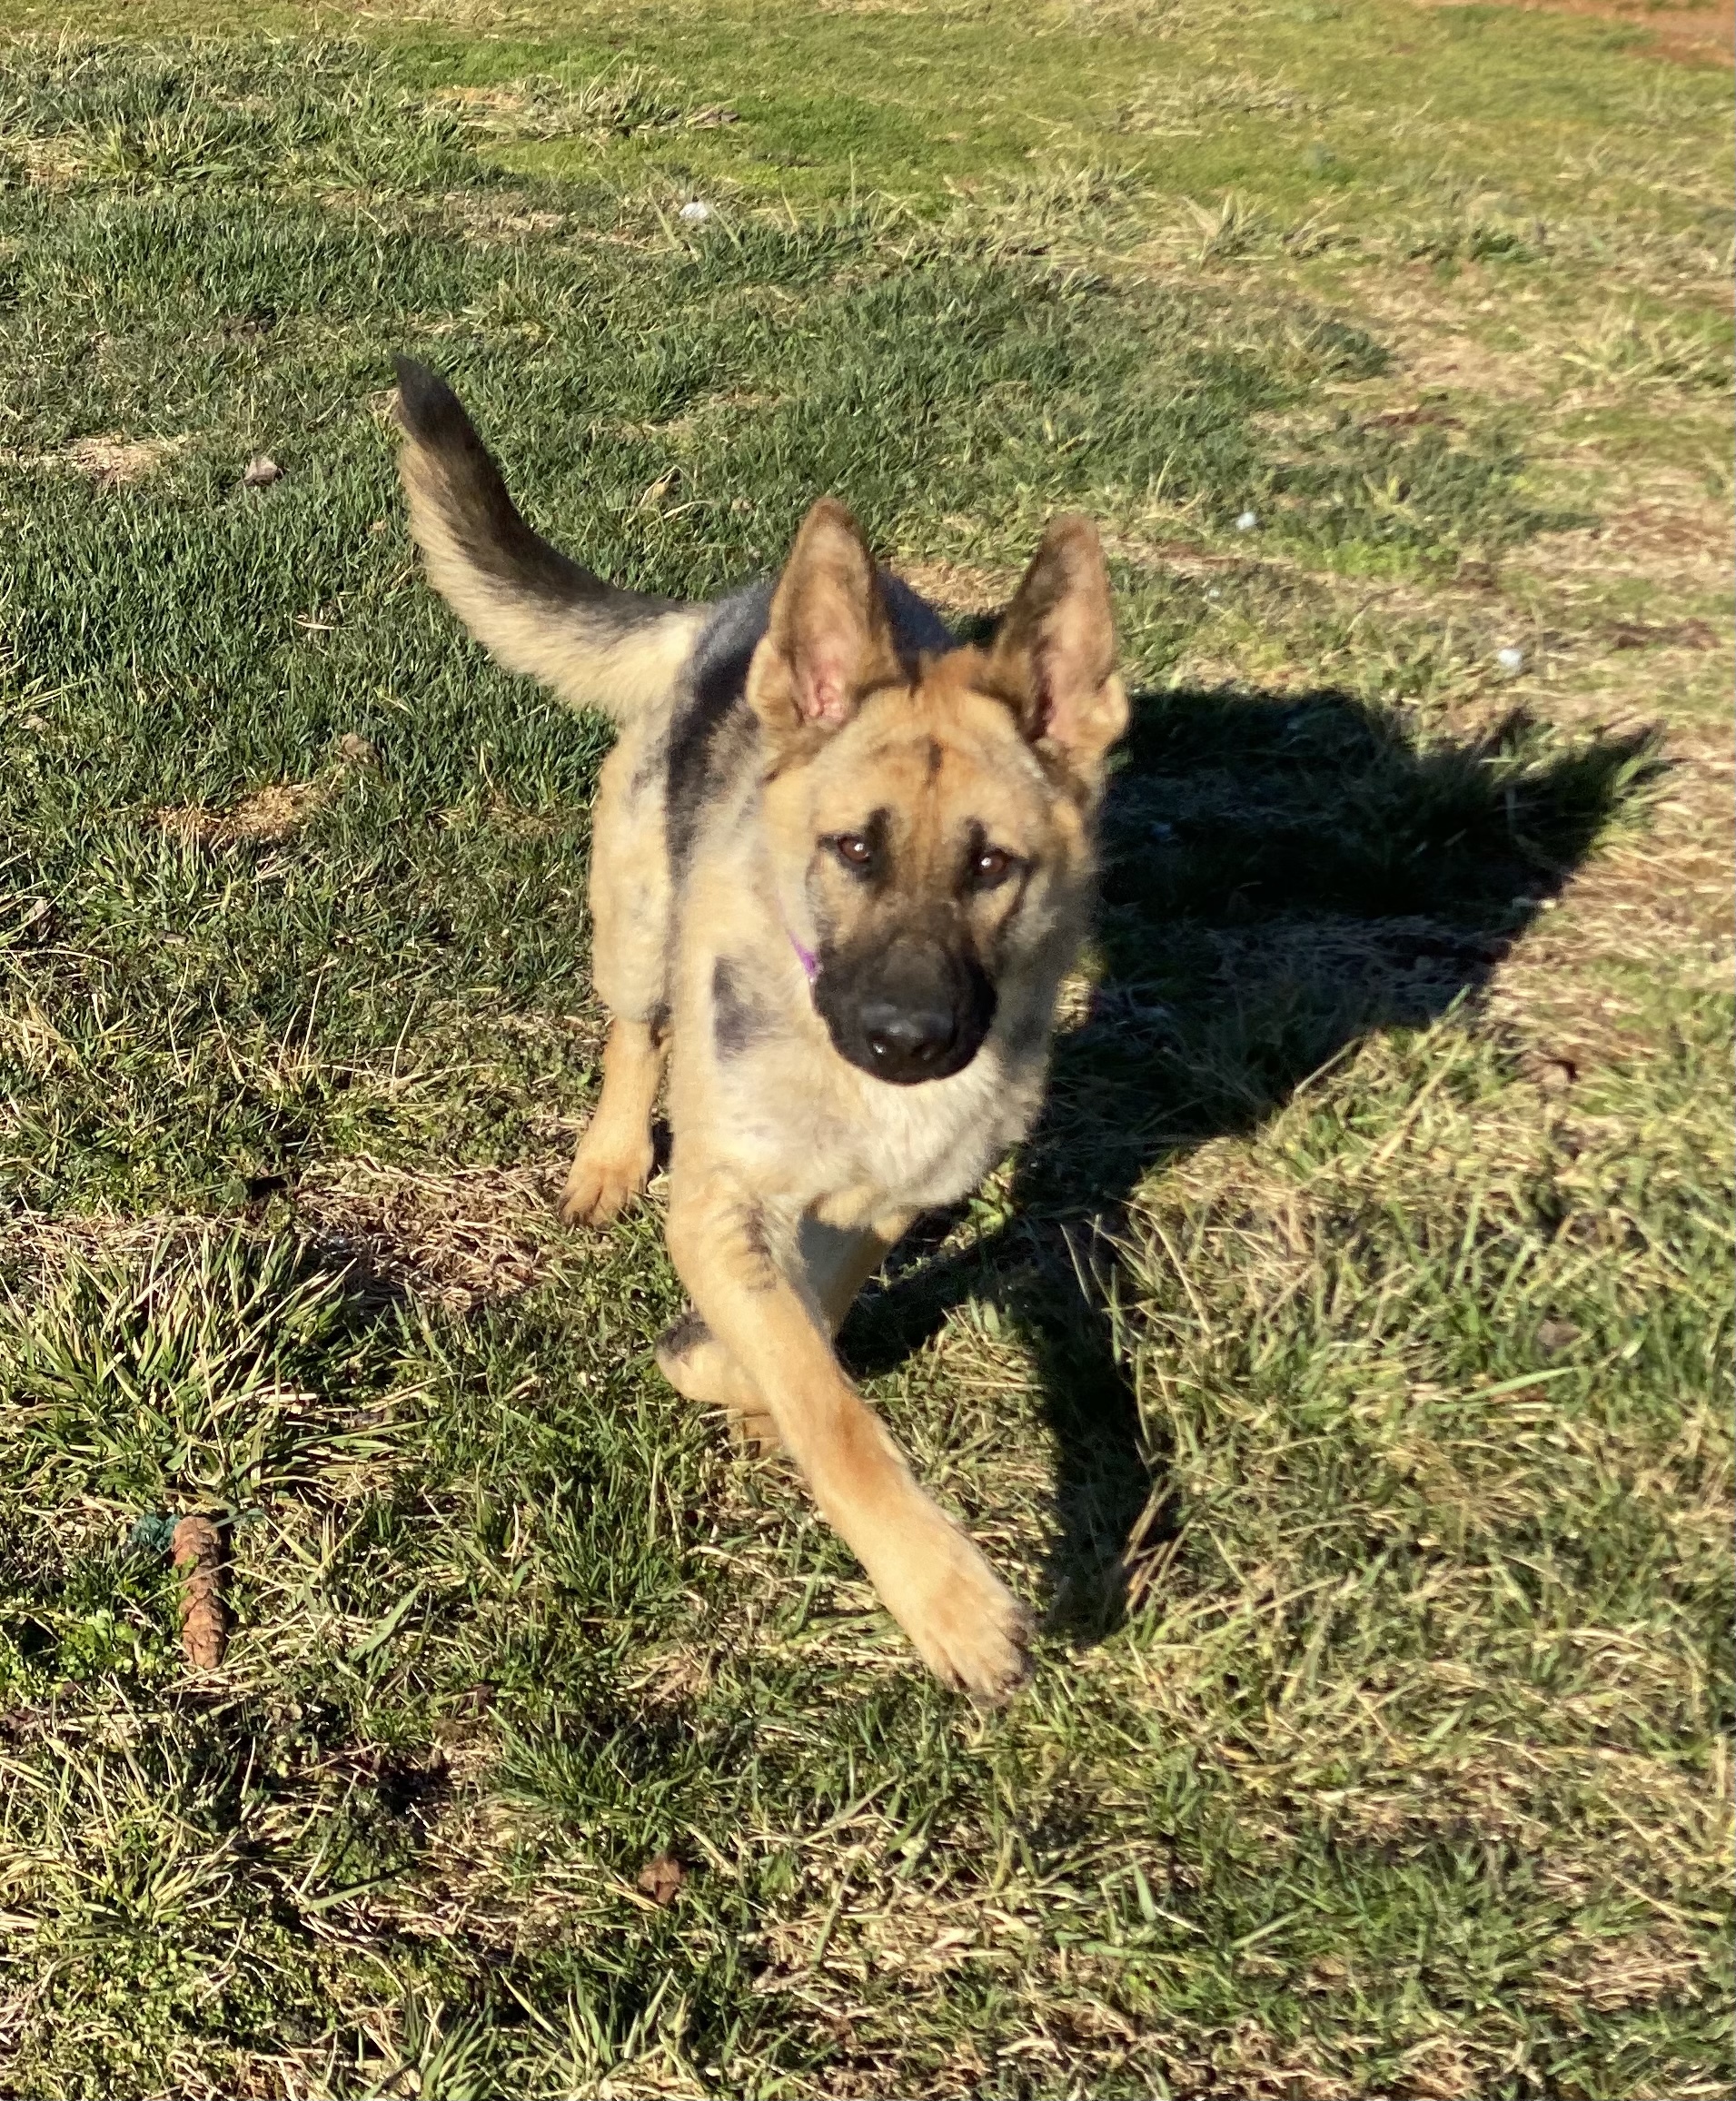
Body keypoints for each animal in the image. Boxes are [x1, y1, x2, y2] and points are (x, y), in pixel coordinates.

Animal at [391, 365, 1126, 1706]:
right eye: (853, 849)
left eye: (991, 866)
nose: (903, 1037)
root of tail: (725, 614)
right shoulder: (719, 1205)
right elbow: (827, 1404)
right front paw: (946, 1599)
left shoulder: (888, 1202)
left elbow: (814, 1322)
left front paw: (735, 1378)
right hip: (635, 925)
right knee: (634, 1035)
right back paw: (609, 1157)